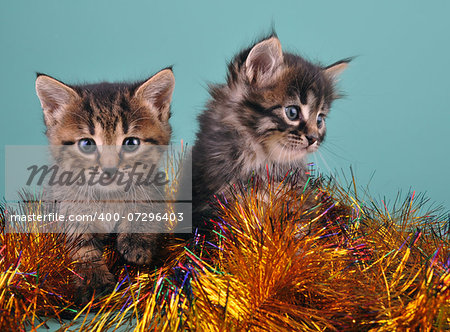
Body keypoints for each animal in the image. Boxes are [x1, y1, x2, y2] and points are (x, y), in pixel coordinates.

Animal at [35, 68, 175, 302]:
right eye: (87, 144)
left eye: (131, 143)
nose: (110, 170)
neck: (109, 197)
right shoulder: (66, 205)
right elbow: (80, 246)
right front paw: (94, 281)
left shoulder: (154, 184)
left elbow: (147, 205)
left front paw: (137, 241)